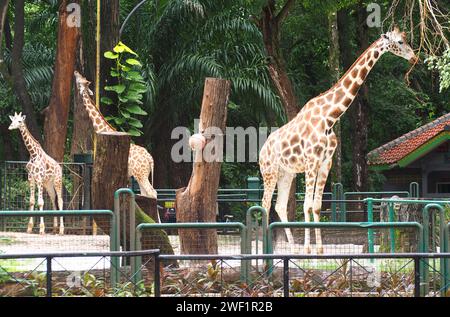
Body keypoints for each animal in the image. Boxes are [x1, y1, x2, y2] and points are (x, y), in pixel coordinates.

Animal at [74, 71, 158, 200]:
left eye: (81, 79)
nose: (75, 72)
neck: (106, 130)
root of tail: (150, 158)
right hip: (142, 174)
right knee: (146, 194)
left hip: (141, 174)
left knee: (152, 192)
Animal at [260, 27, 418, 254]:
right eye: (400, 41)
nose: (414, 57)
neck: (330, 117)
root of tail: (261, 150)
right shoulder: (311, 161)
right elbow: (307, 204)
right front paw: (309, 250)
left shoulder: (326, 161)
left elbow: (316, 206)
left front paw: (318, 250)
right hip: (269, 171)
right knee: (264, 205)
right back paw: (266, 253)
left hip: (286, 173)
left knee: (279, 205)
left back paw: (292, 250)